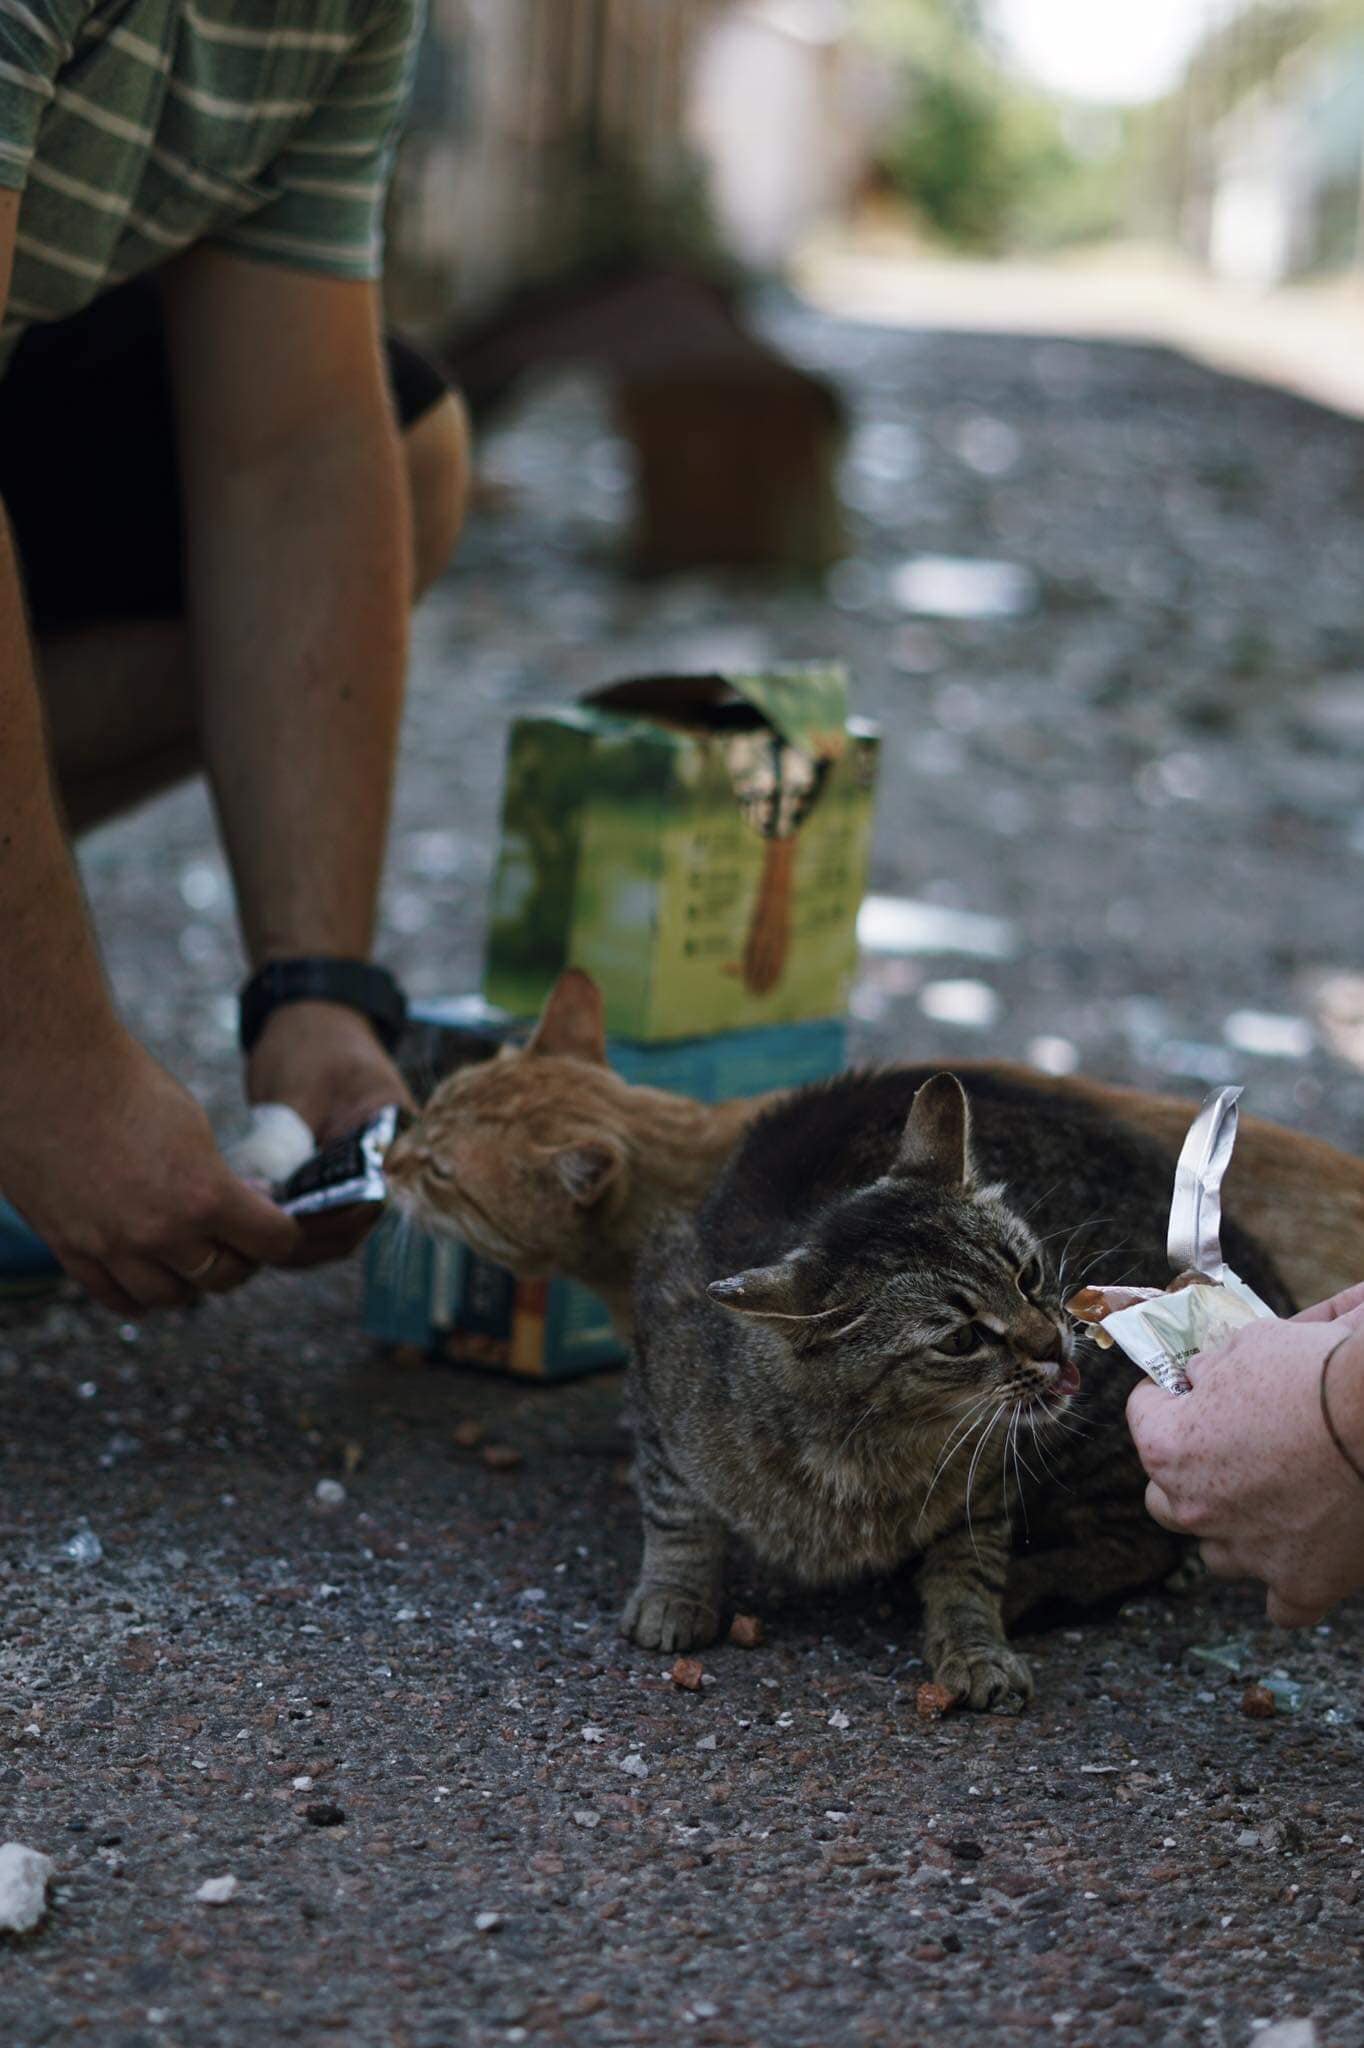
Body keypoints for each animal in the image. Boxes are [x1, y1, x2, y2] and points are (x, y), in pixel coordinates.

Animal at [622, 1064, 1286, 1703]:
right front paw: (673, 1594)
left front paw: (975, 1647)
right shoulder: (661, 1348)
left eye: (1029, 1275)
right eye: (961, 1340)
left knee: (1146, 1543)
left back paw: (1029, 1586)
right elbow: (675, 1509)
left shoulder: (986, 1486)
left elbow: (968, 1570)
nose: (1053, 1343)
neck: (870, 1454)